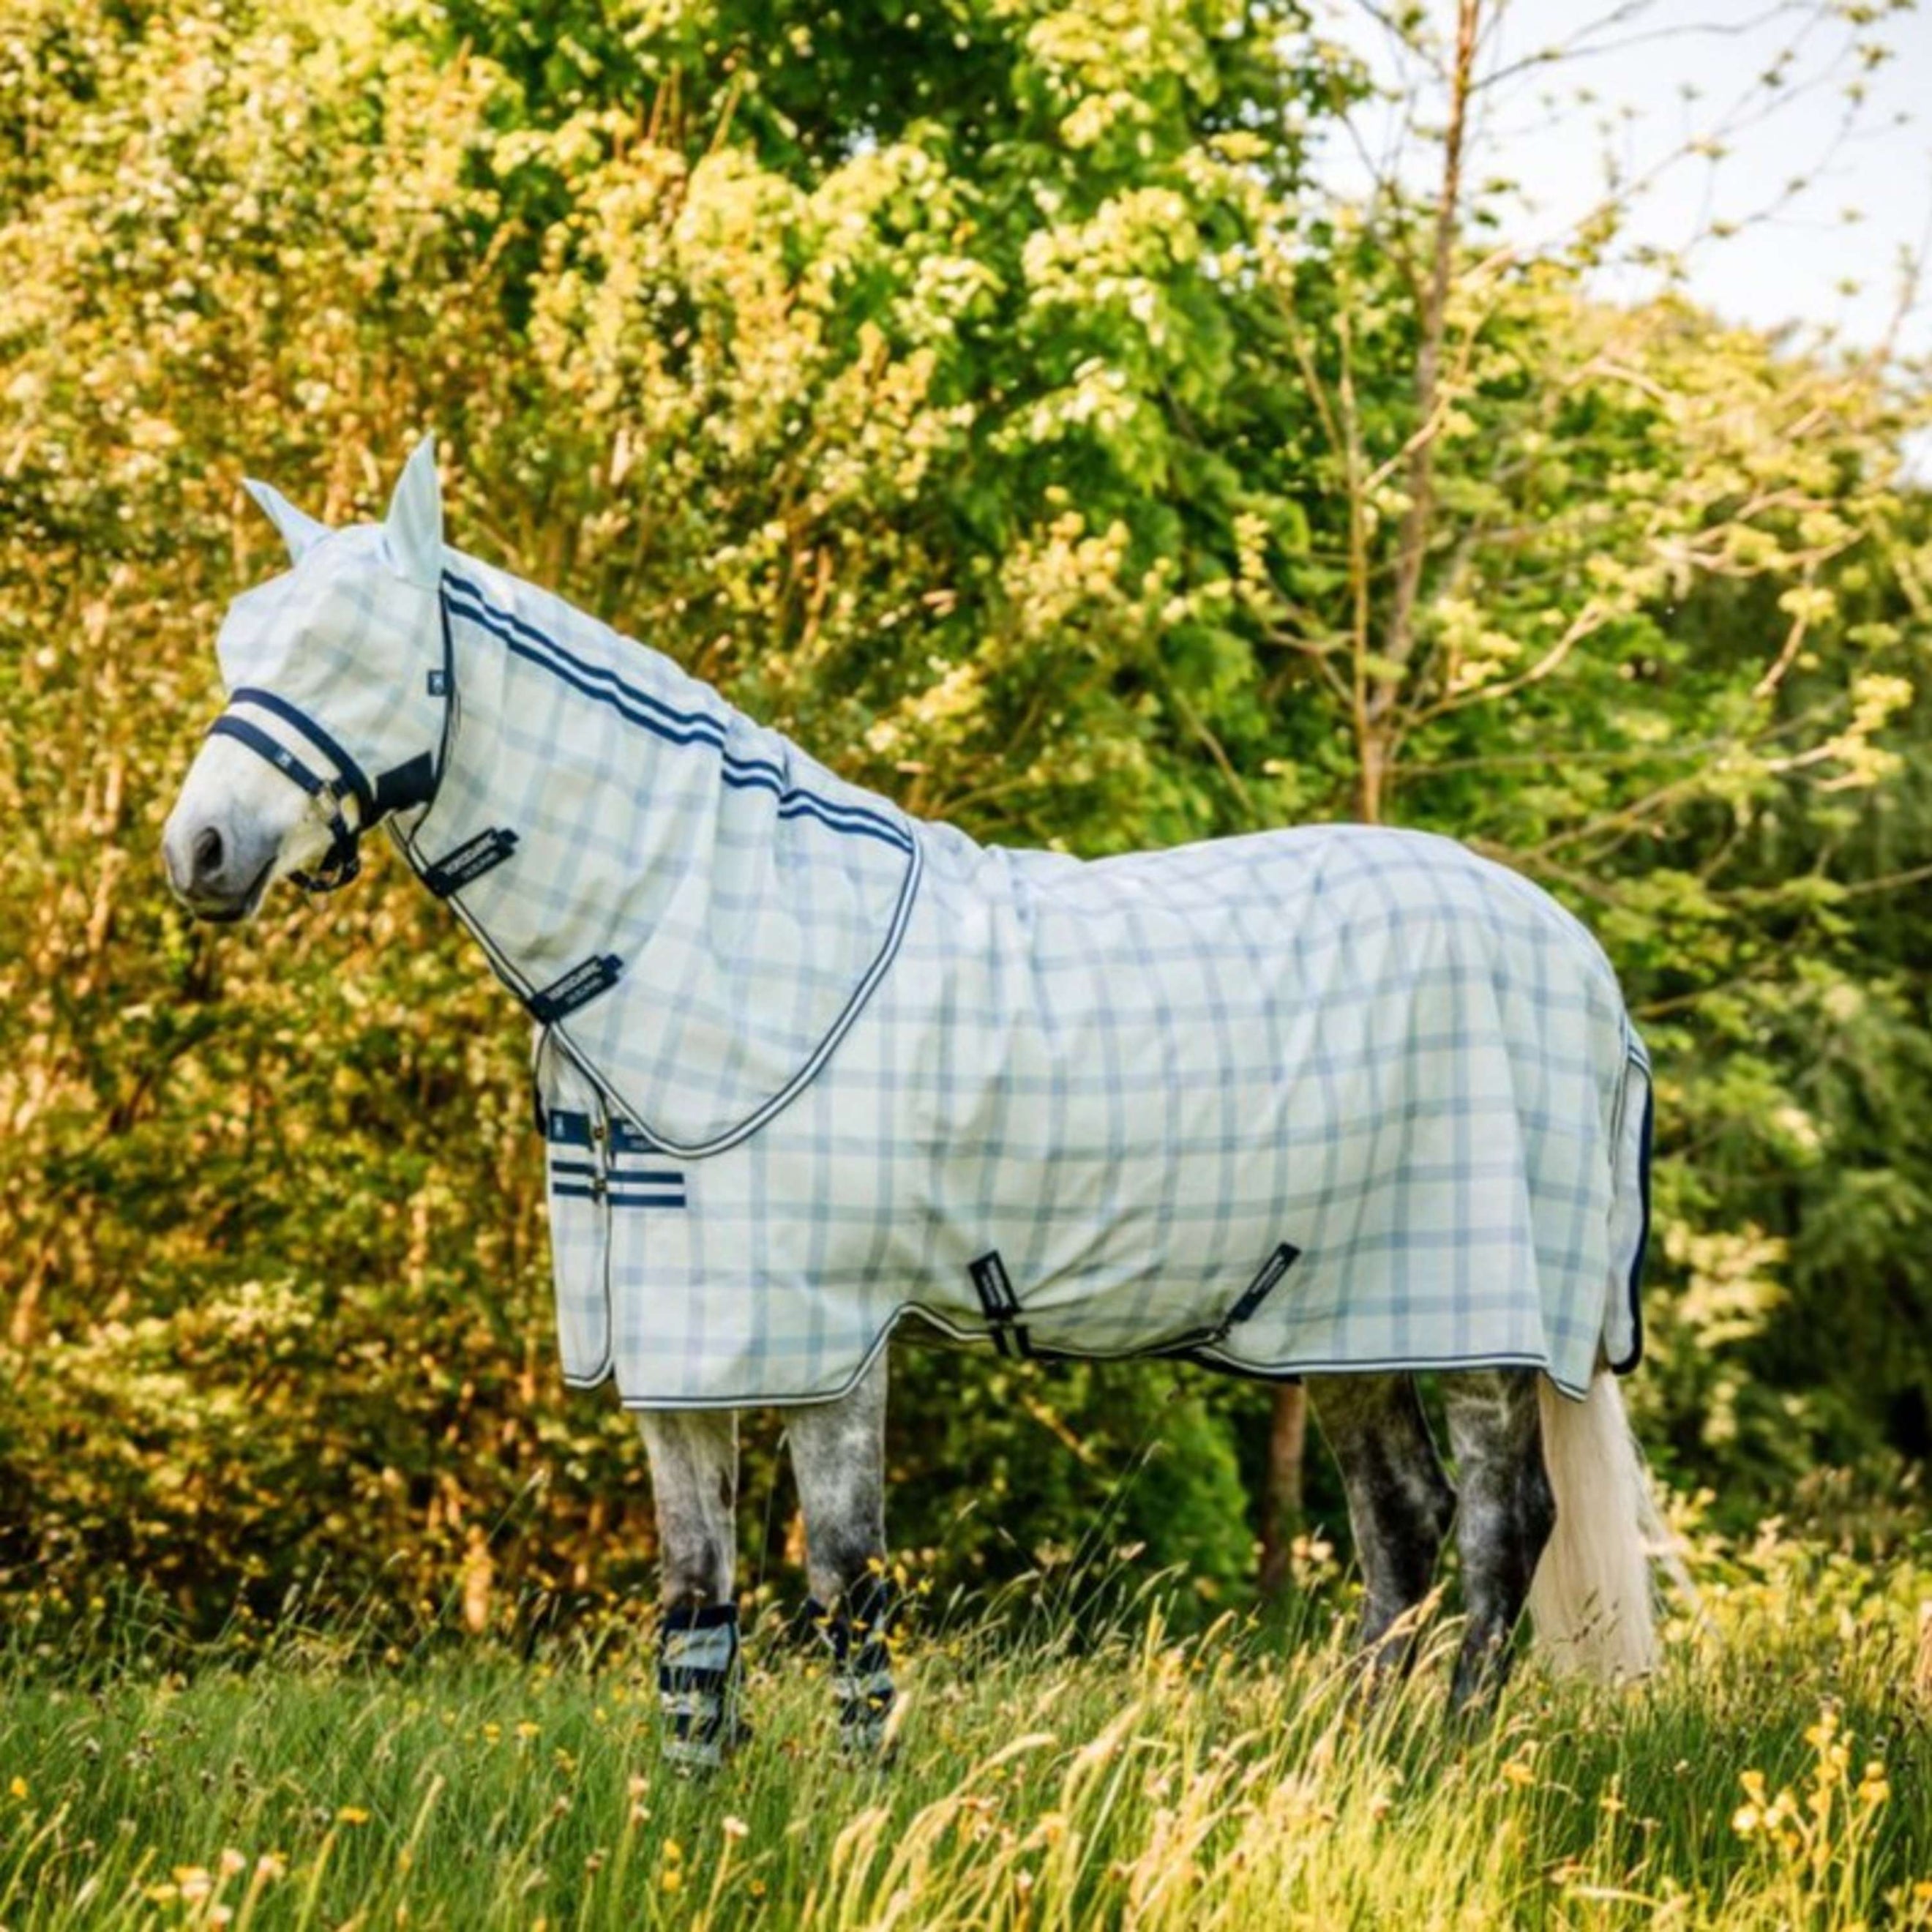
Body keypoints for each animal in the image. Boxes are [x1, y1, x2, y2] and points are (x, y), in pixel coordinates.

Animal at [163, 437, 1665, 1765]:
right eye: (242, 643)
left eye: (353, 649)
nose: (199, 853)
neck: (721, 929)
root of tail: (1577, 960)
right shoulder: (681, 1348)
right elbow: (695, 1602)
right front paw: (689, 1817)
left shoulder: (827, 1337)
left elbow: (845, 1586)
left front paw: (857, 1805)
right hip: (1342, 1318)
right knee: (1401, 1524)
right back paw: (1346, 1766)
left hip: (1478, 1327)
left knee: (1498, 1531)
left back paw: (1444, 1764)